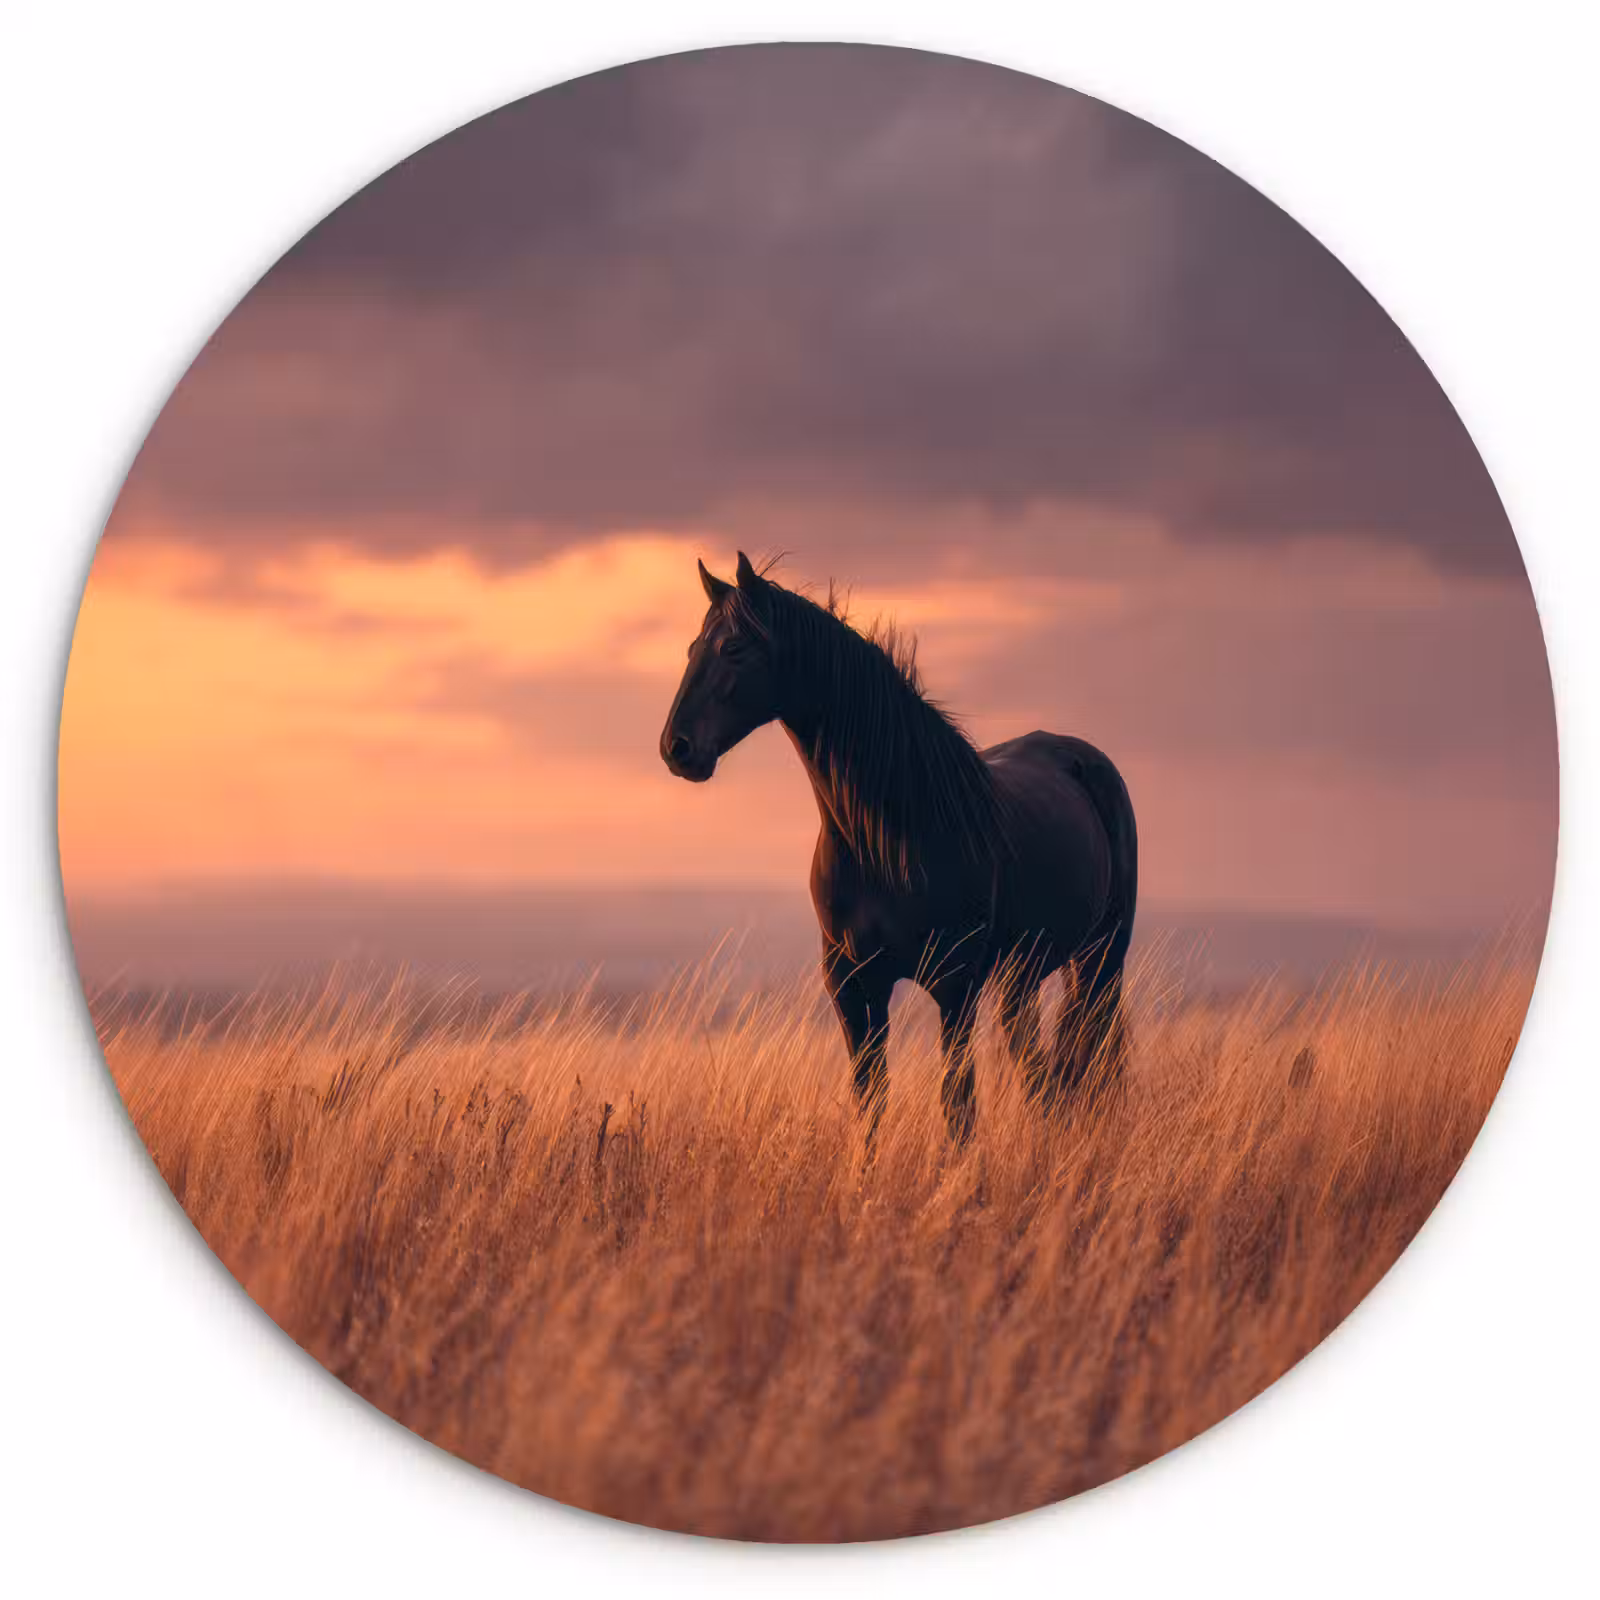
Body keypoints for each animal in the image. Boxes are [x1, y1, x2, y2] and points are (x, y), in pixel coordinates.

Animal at [660, 551, 1138, 1144]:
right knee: (1041, 1074)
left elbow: (958, 1105)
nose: (676, 748)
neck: (890, 839)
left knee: (1084, 1060)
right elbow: (871, 1102)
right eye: (691, 649)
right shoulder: (852, 985)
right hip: (1021, 977)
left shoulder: (955, 986)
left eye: (733, 648)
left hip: (1100, 960)